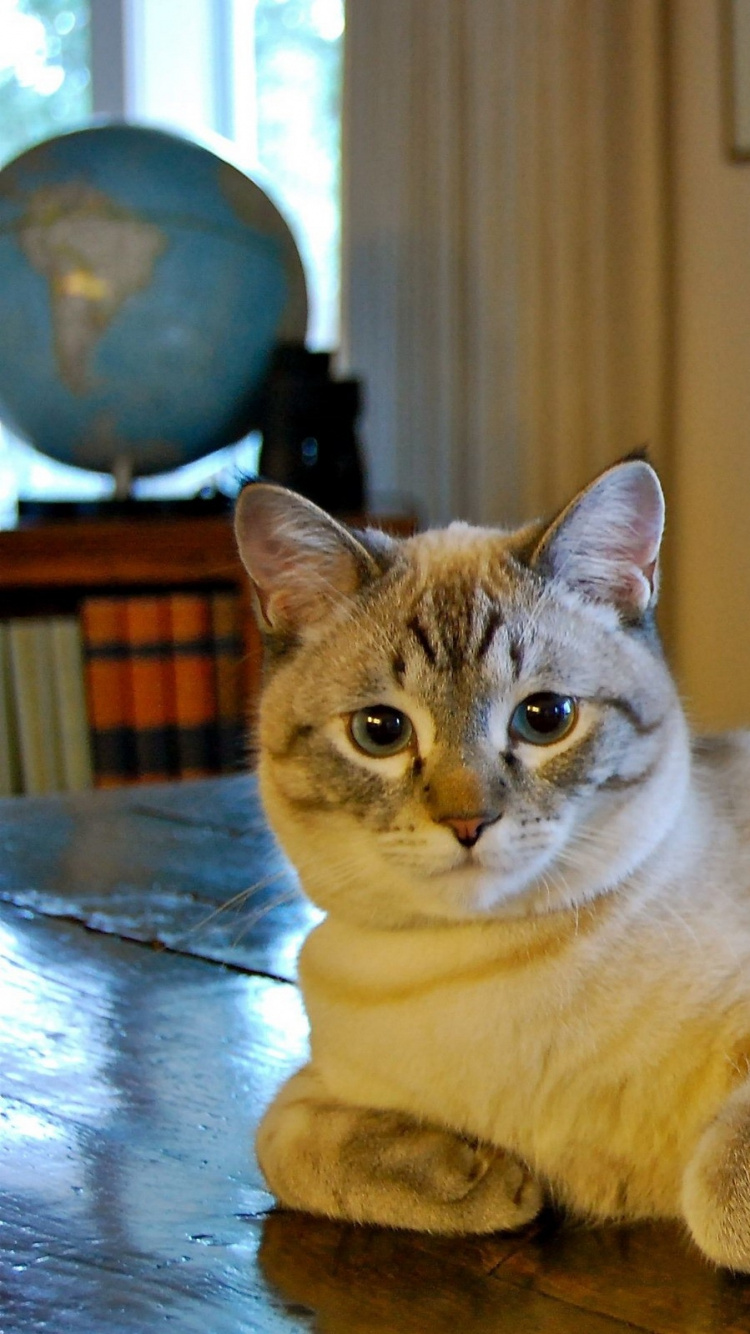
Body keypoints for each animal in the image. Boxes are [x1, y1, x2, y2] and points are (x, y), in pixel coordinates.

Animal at [232, 461, 750, 1269]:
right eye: (380, 731)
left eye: (545, 718)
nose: (468, 823)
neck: (486, 963)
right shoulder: (318, 1082)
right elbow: (280, 1146)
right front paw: (488, 1182)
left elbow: (720, 1195)